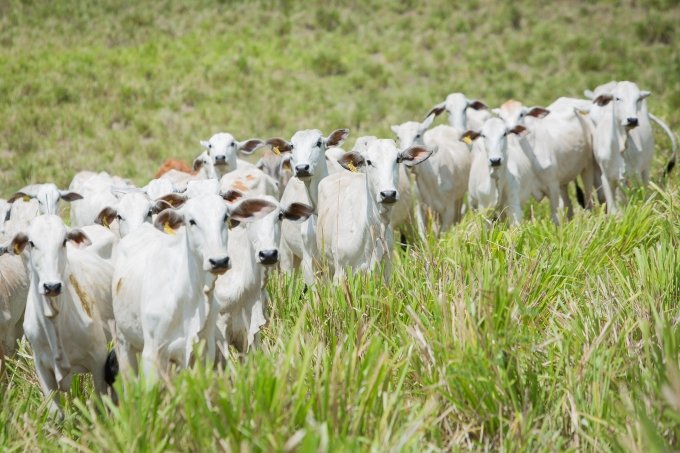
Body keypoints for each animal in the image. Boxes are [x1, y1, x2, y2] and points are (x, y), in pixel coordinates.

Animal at [0, 215, 111, 416]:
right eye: (31, 243)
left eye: (64, 241)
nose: (51, 286)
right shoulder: (42, 367)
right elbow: (55, 414)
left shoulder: (99, 359)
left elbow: (101, 406)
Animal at [113, 192, 278, 380]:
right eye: (191, 221)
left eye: (225, 217)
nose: (219, 261)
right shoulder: (152, 355)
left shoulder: (206, 352)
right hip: (124, 344)